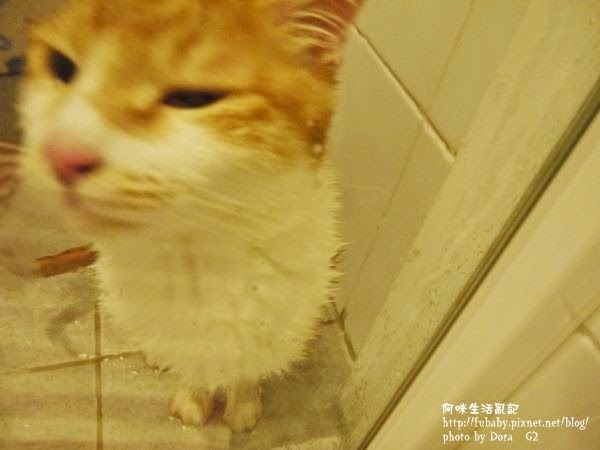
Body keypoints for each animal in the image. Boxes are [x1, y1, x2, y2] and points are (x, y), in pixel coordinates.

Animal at [18, 0, 362, 432]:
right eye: (64, 67)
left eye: (194, 97)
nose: (62, 153)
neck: (199, 253)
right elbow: (193, 362)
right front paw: (193, 398)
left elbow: (248, 365)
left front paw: (243, 404)